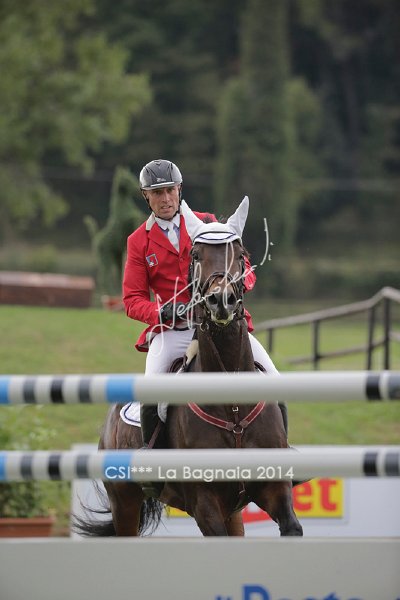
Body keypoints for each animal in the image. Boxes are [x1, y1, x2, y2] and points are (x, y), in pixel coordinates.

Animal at [75, 197, 303, 537]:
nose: (221, 301)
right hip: (124, 502)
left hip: (233, 512)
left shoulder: (273, 490)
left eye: (241, 254)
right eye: (196, 255)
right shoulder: (205, 506)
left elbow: (291, 526)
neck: (233, 407)